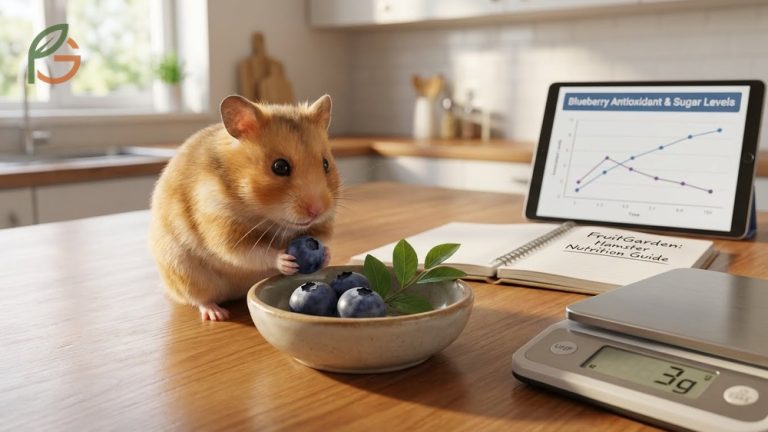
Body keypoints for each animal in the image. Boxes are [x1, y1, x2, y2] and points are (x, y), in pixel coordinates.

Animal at [149, 94, 340, 321]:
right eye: (280, 167)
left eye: (326, 164)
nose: (317, 211)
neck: (269, 219)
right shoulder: (221, 226)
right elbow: (250, 252)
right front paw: (286, 260)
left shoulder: (321, 226)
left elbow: (322, 241)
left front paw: (326, 255)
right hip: (184, 273)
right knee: (199, 299)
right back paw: (217, 314)